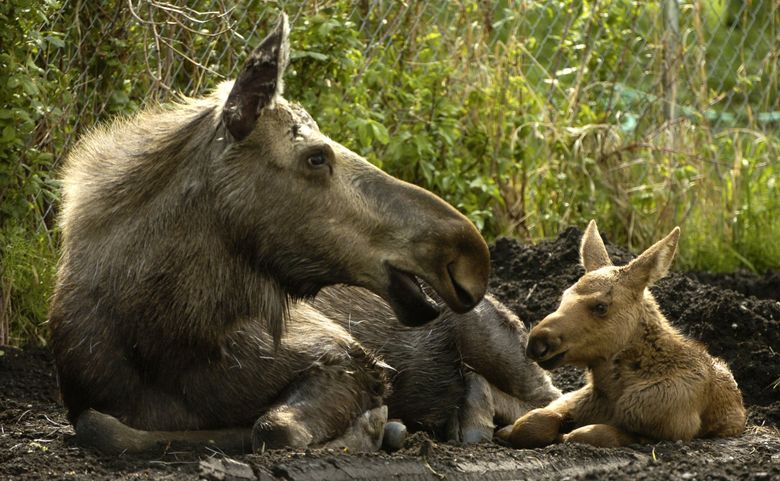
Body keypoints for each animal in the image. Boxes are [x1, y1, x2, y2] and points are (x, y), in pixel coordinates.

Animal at [51, 12, 488, 454]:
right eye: (316, 156)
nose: (468, 253)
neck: (162, 336)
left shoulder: (351, 356)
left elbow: (272, 427)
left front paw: (370, 427)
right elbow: (100, 425)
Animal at [496, 220, 748, 446]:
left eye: (601, 306)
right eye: (563, 296)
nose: (537, 342)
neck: (612, 391)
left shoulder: (671, 429)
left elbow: (588, 434)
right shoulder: (570, 400)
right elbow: (531, 421)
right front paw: (508, 431)